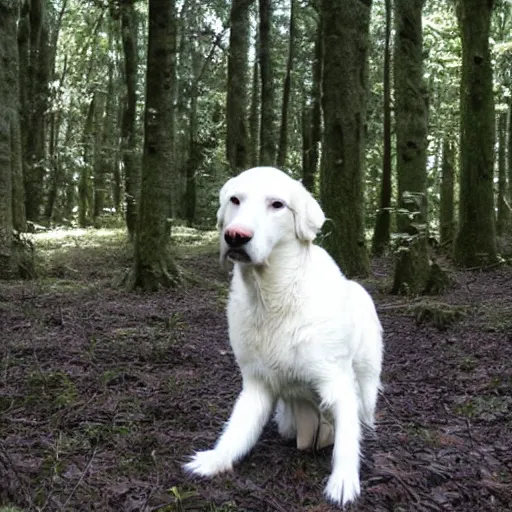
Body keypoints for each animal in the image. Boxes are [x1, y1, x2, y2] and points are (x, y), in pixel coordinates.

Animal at [185, 167, 384, 504]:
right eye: (235, 199)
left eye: (277, 204)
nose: (235, 236)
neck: (272, 297)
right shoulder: (256, 381)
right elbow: (238, 428)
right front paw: (216, 459)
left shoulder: (338, 382)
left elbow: (347, 437)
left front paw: (343, 481)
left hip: (367, 375)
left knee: (364, 409)